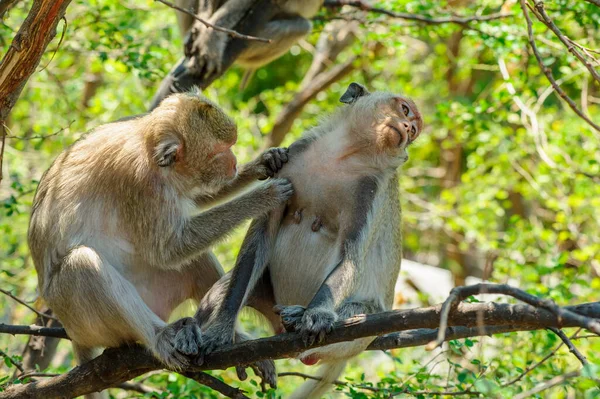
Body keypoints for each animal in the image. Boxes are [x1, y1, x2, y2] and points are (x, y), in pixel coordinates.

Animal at [27, 87, 290, 396]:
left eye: (232, 144)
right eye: (219, 151)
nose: (235, 163)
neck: (146, 143)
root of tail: (74, 335)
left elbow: (194, 204)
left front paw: (264, 163)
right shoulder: (139, 181)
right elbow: (168, 248)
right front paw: (264, 196)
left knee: (195, 259)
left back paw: (232, 337)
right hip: (83, 320)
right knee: (81, 264)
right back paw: (160, 337)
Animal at [195, 83, 424, 398]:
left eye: (414, 132)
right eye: (404, 110)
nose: (408, 127)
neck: (344, 155)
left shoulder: (370, 190)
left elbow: (350, 257)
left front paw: (316, 314)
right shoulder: (293, 158)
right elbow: (260, 236)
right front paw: (221, 329)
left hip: (365, 327)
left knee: (354, 317)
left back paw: (299, 320)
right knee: (223, 288)